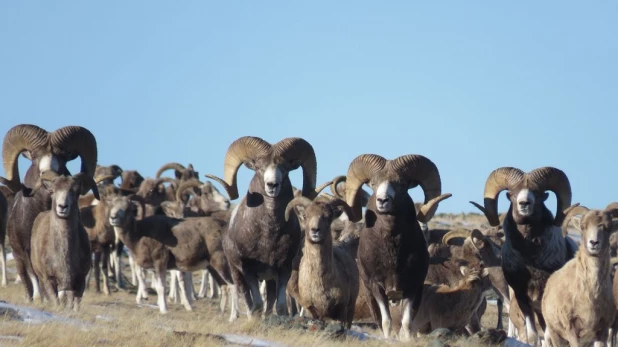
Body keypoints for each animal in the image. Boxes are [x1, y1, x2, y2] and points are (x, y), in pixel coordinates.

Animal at [30, 173, 96, 312]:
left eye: (76, 192)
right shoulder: (48, 280)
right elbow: (55, 301)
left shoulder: (78, 281)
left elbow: (74, 304)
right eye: (51, 191)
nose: (62, 207)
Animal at [286, 196, 358, 328]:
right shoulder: (311, 310)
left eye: (328, 216)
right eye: (305, 215)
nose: (315, 230)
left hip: (351, 308)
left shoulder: (342, 309)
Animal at [470, 167, 576, 346]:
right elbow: (533, 335)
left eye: (537, 193)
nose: (524, 204)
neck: (529, 260)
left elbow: (548, 336)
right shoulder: (523, 298)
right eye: (513, 193)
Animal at [540, 205, 616, 346]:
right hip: (555, 335)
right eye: (583, 226)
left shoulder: (602, 332)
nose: (594, 243)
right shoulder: (572, 331)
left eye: (607, 228)